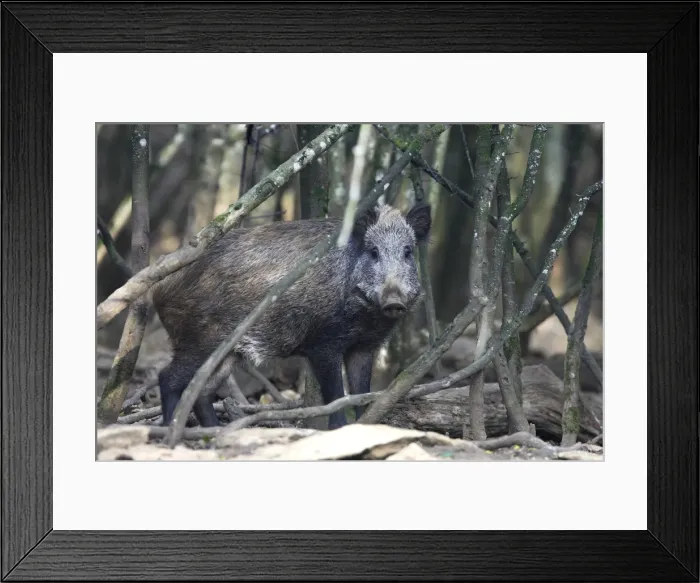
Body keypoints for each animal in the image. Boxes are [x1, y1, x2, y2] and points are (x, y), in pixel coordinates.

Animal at [151, 201, 432, 430]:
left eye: (408, 252)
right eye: (373, 252)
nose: (394, 301)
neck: (364, 317)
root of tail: (160, 287)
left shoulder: (363, 346)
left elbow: (361, 392)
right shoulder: (323, 344)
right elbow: (336, 396)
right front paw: (338, 429)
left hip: (226, 353)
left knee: (202, 393)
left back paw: (213, 430)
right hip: (198, 340)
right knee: (167, 378)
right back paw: (170, 429)